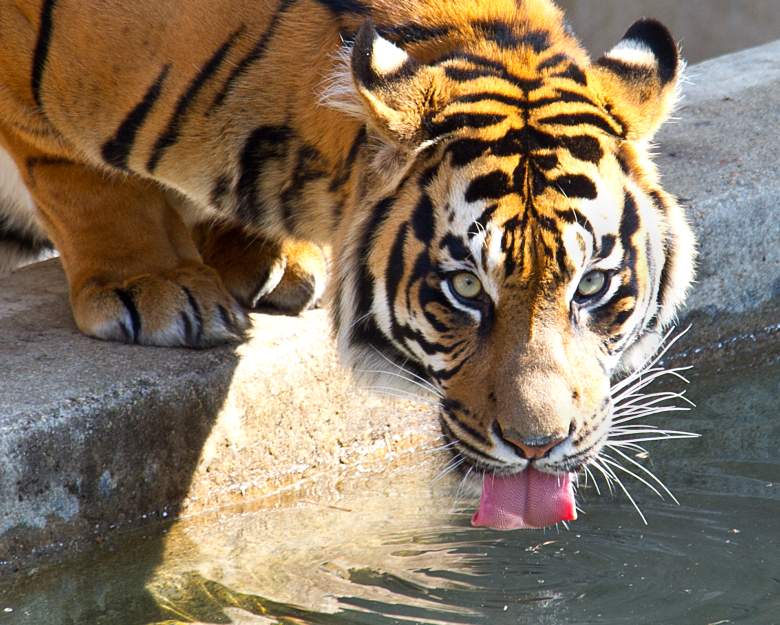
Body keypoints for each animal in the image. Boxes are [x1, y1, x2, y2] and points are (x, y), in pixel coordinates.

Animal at [0, 0, 696, 528]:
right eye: (467, 287)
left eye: (592, 285)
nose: (537, 447)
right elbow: (77, 172)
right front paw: (154, 283)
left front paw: (268, 258)